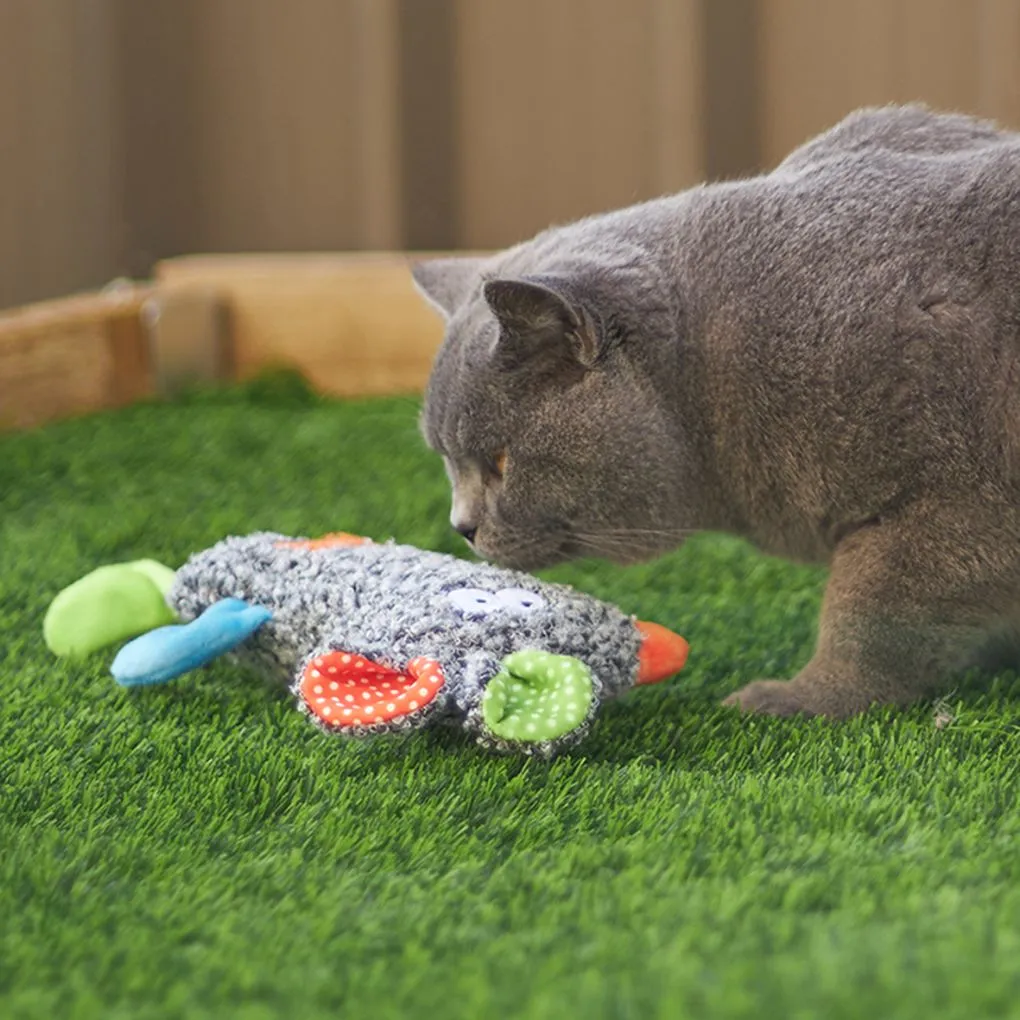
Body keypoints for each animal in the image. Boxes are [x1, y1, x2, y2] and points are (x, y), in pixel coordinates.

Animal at [410, 105, 1020, 718]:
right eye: (447, 460)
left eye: (501, 462)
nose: (460, 527)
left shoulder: (962, 505)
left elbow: (872, 611)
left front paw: (801, 700)